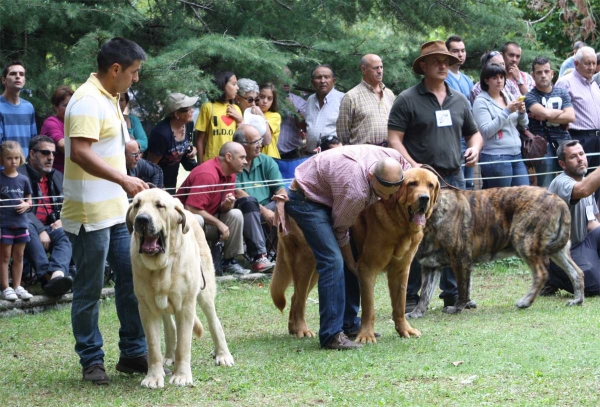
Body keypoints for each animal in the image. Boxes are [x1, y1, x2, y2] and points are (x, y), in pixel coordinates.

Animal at [127, 190, 234, 390]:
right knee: (170, 326)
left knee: (214, 322)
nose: (142, 219)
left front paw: (182, 376)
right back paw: (169, 356)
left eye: (159, 205)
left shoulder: (185, 306)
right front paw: (154, 377)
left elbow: (184, 345)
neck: (161, 268)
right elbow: (153, 346)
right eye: (137, 204)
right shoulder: (146, 308)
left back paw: (223, 355)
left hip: (204, 292)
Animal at [272, 168, 440, 344]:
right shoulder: (367, 269)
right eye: (412, 184)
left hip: (315, 271)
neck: (398, 222)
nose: (424, 198)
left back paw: (294, 329)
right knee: (299, 299)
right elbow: (369, 307)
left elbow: (399, 305)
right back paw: (302, 329)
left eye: (430, 185)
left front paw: (404, 329)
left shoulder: (401, 270)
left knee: (296, 296)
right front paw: (366, 335)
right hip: (305, 262)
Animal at [406, 185, 584, 318]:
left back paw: (525, 302)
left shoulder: (460, 260)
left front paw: (457, 308)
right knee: (577, 273)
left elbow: (463, 289)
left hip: (523, 241)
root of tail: (558, 200)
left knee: (541, 274)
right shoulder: (431, 266)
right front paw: (417, 313)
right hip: (558, 251)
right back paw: (577, 300)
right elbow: (425, 294)